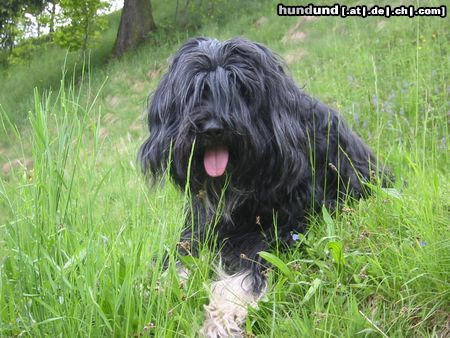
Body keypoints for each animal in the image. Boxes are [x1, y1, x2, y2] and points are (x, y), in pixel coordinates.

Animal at [139, 37, 388, 338]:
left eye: (240, 87)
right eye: (198, 89)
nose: (213, 128)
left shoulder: (287, 226)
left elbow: (250, 267)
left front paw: (223, 313)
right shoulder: (201, 225)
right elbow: (180, 254)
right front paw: (161, 285)